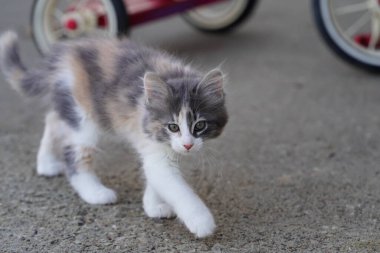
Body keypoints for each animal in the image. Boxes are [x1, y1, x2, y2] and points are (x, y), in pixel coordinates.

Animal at [0, 30, 227, 238]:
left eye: (200, 125)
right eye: (173, 127)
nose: (188, 145)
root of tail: (64, 52)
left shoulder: (157, 146)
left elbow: (154, 176)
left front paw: (153, 205)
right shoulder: (155, 144)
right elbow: (176, 188)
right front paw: (202, 221)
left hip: (71, 106)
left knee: (52, 119)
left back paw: (46, 163)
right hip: (84, 117)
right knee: (73, 154)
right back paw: (95, 192)